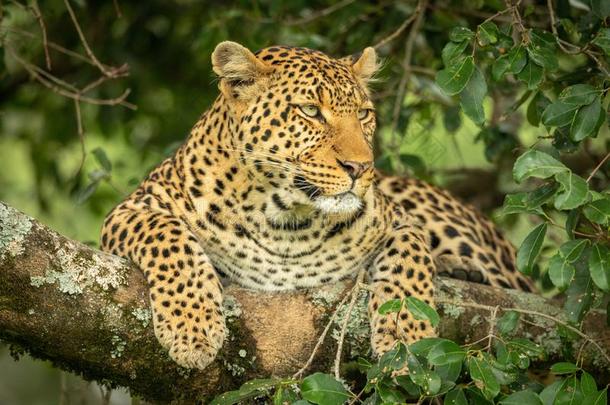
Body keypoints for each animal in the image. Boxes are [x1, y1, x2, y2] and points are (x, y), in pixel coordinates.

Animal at [100, 41, 532, 370]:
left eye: (364, 114)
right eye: (310, 111)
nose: (361, 167)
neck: (284, 219)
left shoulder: (399, 220)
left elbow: (409, 260)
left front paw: (408, 341)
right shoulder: (132, 208)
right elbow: (168, 236)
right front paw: (193, 328)